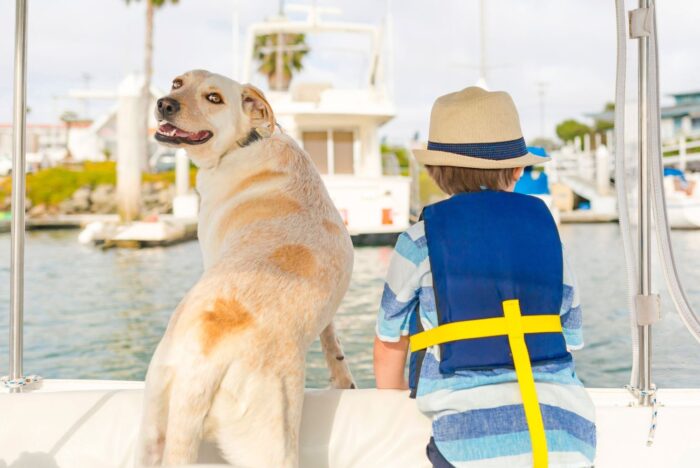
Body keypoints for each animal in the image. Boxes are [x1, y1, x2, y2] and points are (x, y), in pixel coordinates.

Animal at [137, 70, 356, 468]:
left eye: (214, 98)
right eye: (177, 83)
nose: (164, 103)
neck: (243, 143)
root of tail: (202, 367)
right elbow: (331, 337)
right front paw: (342, 378)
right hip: (153, 427)